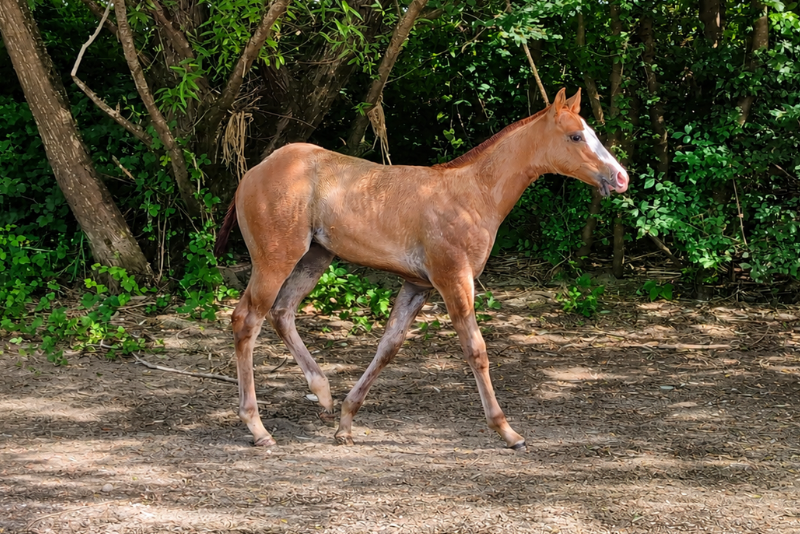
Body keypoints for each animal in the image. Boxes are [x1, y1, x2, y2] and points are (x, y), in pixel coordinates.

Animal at [214, 88, 628, 449]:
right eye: (576, 135)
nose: (621, 177)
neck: (474, 193)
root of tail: (253, 171)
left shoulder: (418, 285)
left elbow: (388, 346)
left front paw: (346, 423)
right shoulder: (454, 279)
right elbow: (476, 350)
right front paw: (507, 432)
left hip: (315, 257)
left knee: (283, 312)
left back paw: (323, 396)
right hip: (276, 259)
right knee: (247, 319)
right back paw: (258, 428)